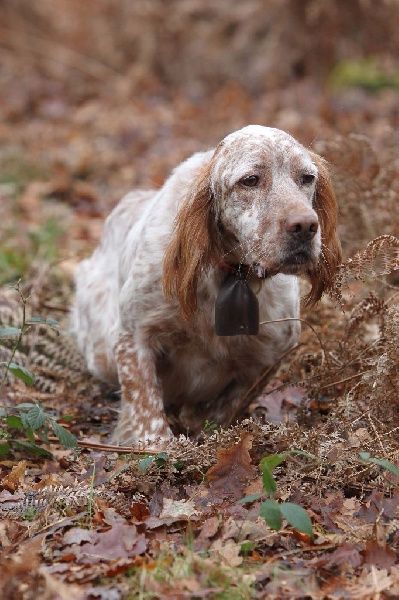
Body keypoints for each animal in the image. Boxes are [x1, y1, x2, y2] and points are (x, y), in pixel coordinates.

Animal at [71, 125, 340, 446]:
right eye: (250, 180)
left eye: (307, 178)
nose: (305, 227)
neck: (233, 275)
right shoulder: (133, 335)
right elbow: (146, 408)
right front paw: (158, 445)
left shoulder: (272, 353)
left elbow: (229, 404)